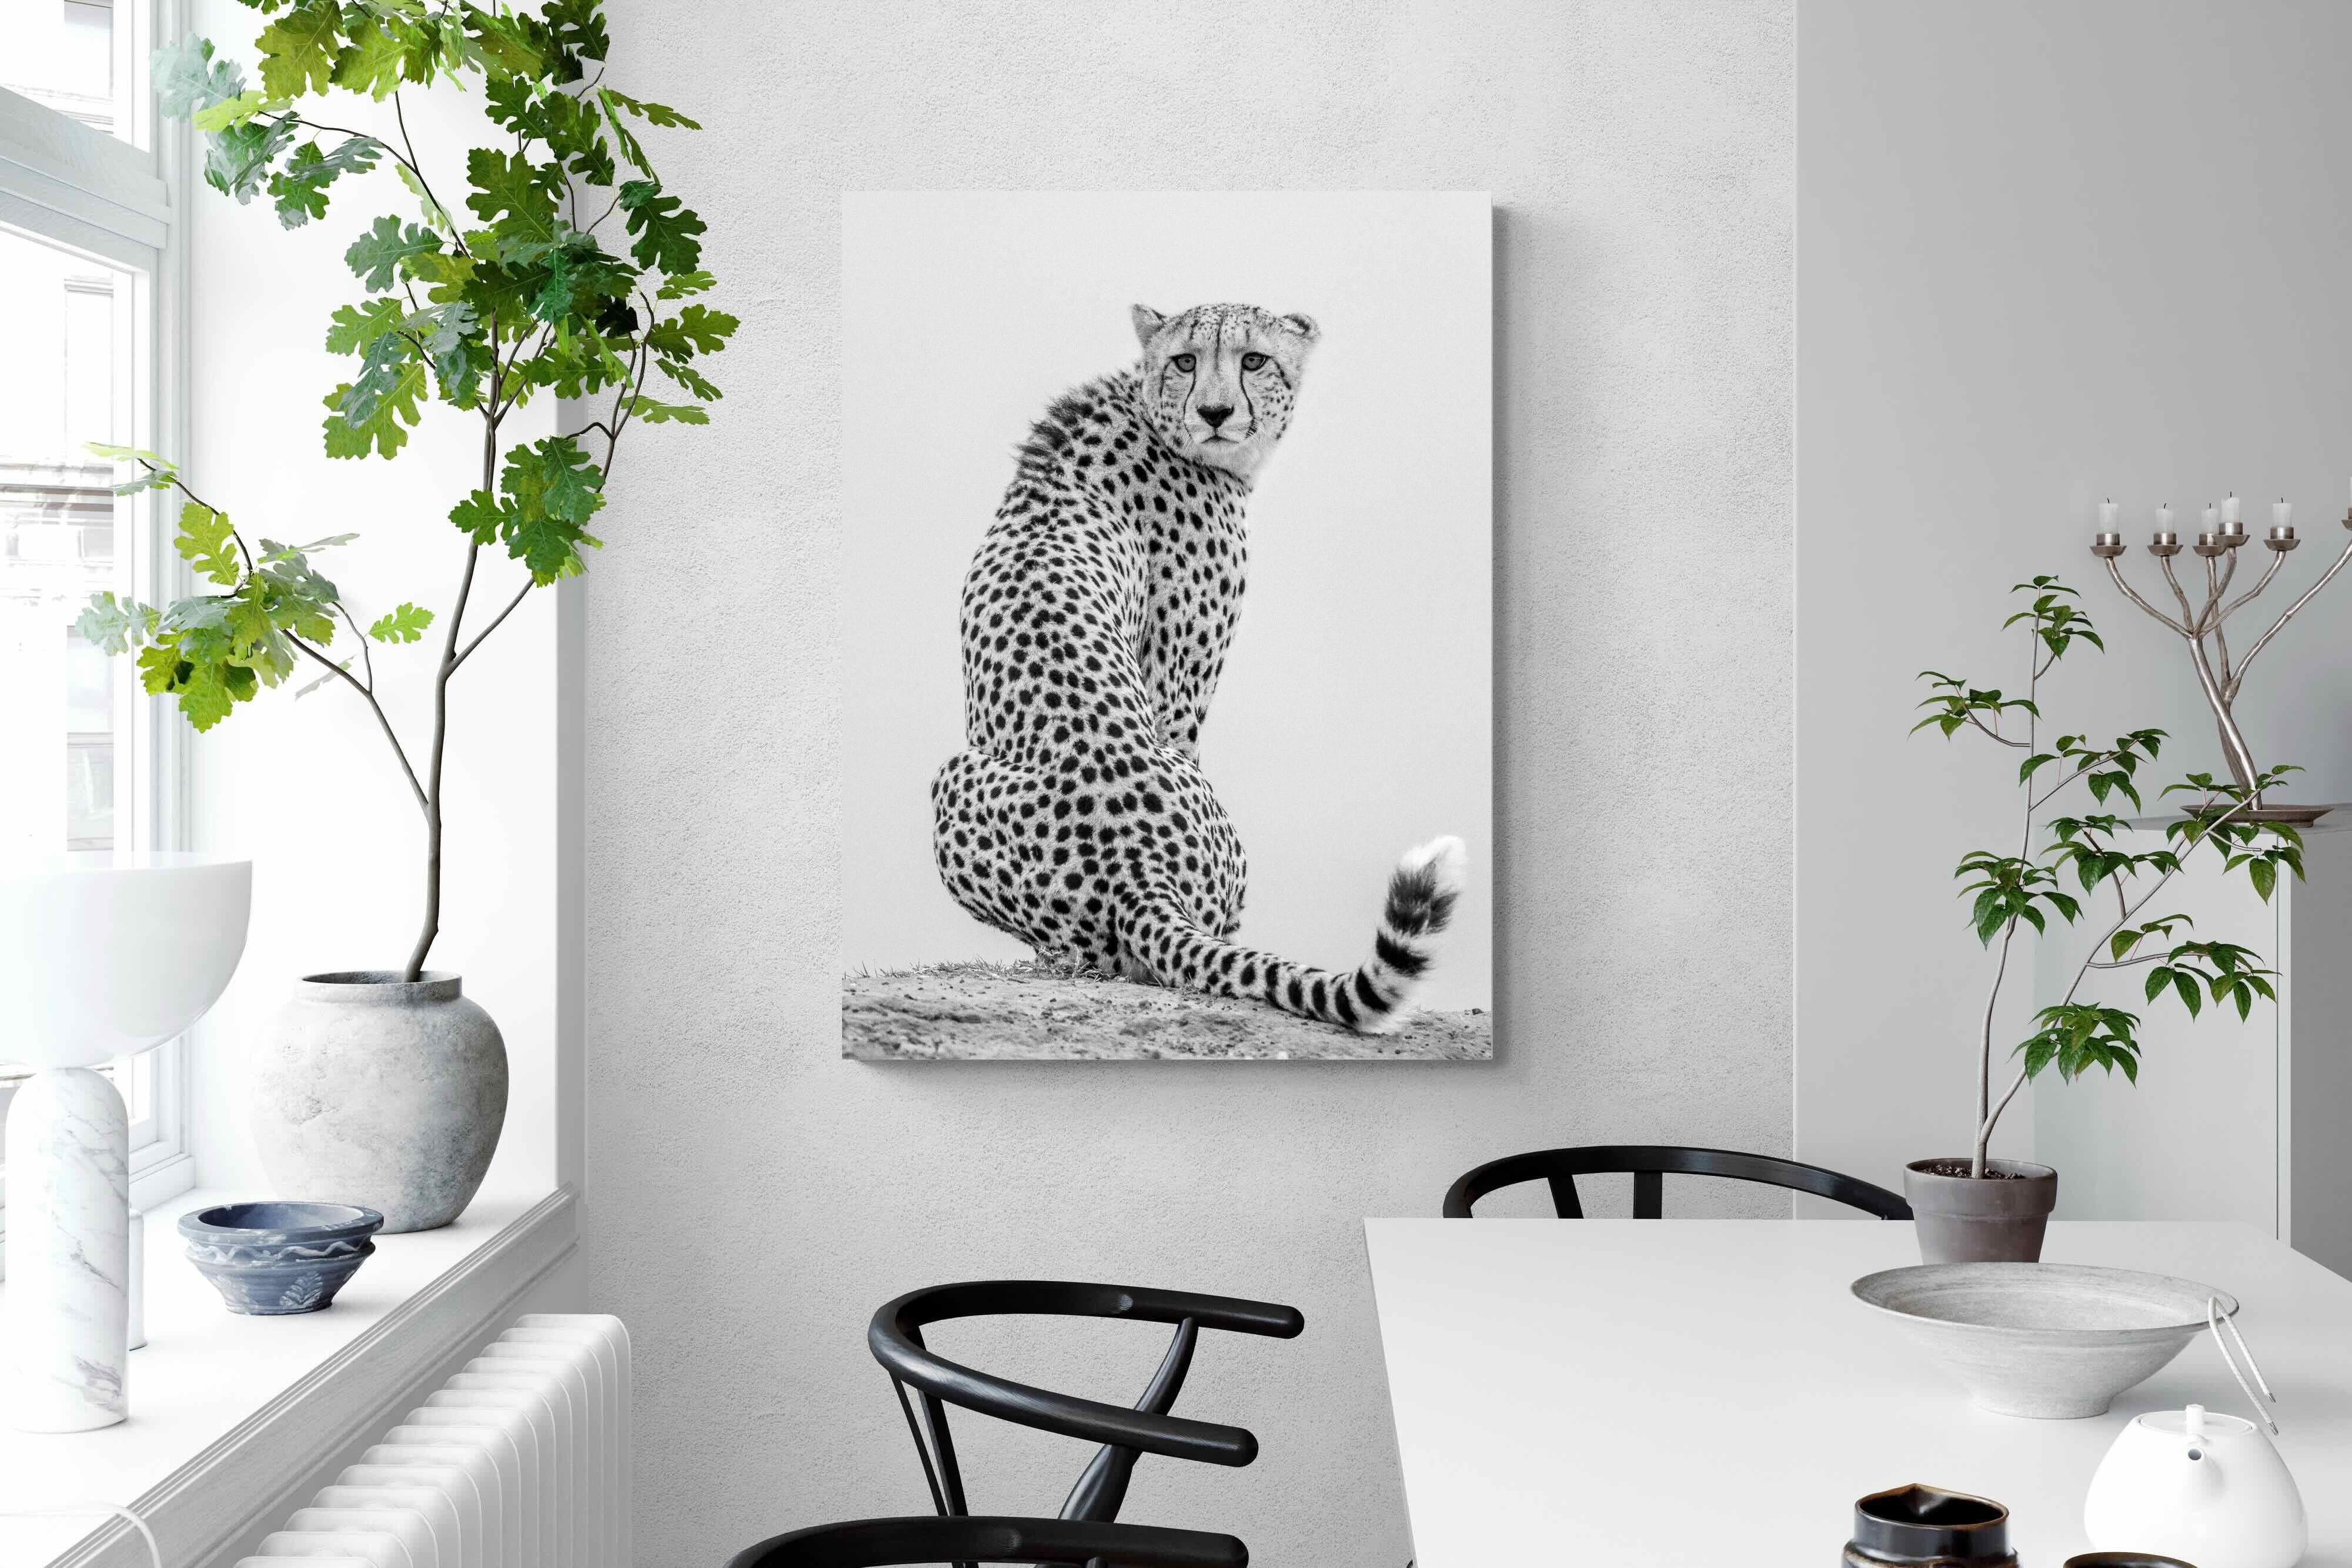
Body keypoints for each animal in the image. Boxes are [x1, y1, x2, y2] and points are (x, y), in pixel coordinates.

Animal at [929, 301, 1468, 1033]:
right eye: (1186, 360)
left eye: (1253, 359)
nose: (1215, 412)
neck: (1150, 411)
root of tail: (1136, 867)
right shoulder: (1177, 689)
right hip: (957, 777)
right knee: (1117, 956)